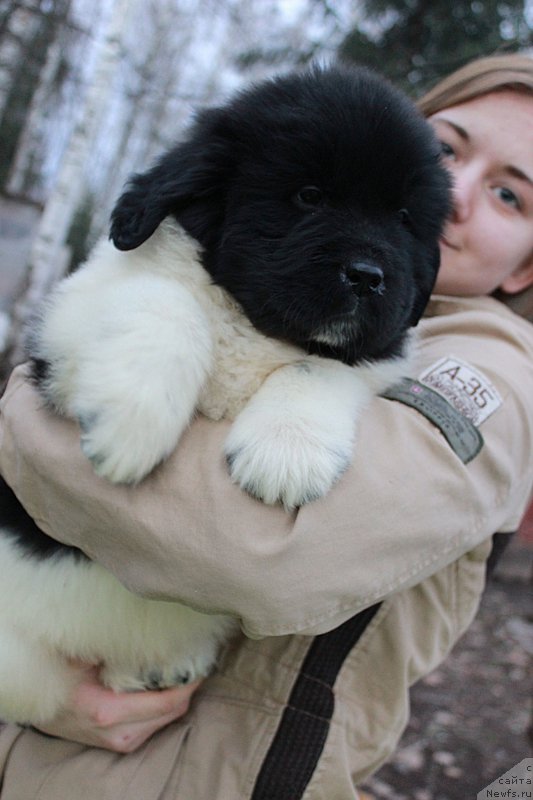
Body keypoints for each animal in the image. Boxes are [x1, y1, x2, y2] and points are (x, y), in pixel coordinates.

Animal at [0, 64, 448, 724]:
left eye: (404, 217)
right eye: (309, 196)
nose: (369, 277)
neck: (255, 324)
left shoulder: (376, 357)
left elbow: (322, 366)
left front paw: (287, 454)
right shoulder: (62, 328)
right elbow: (166, 301)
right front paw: (131, 423)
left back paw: (157, 669)